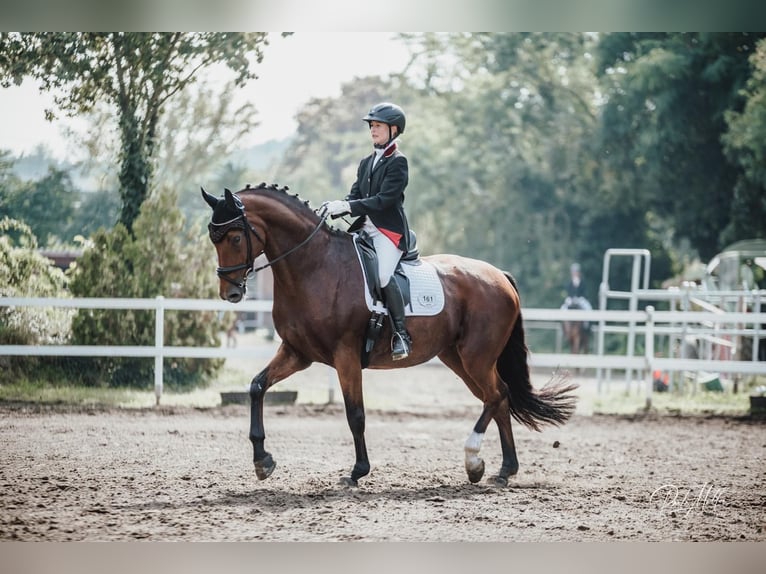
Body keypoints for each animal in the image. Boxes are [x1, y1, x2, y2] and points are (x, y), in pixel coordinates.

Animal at [201, 186, 580, 490]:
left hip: (477, 357)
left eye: (235, 238)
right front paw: (262, 461)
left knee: (498, 394)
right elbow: (256, 387)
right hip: (459, 359)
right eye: (213, 239)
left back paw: (474, 459)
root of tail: (498, 274)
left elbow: (355, 414)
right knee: (496, 399)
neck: (314, 267)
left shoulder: (345, 356)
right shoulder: (297, 352)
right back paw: (502, 471)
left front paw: (357, 471)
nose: (230, 293)